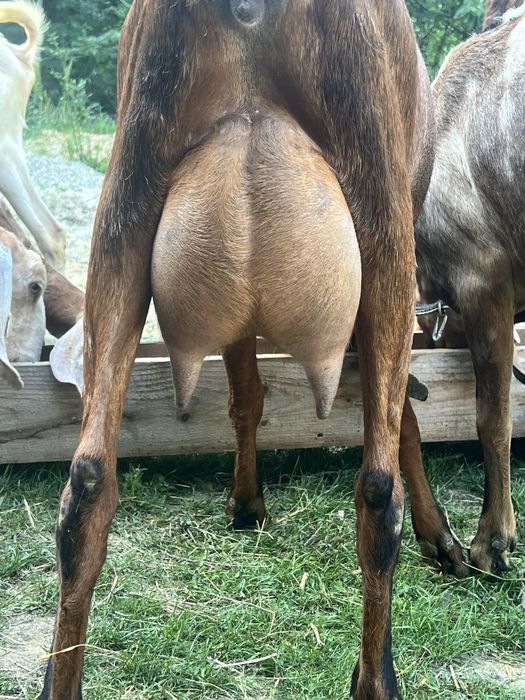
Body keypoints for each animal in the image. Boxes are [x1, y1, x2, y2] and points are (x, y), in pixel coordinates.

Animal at [39, 2, 434, 699]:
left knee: (87, 481)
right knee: (379, 489)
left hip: (128, 195)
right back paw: (376, 673)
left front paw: (246, 501)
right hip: (384, 210)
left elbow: (246, 392)